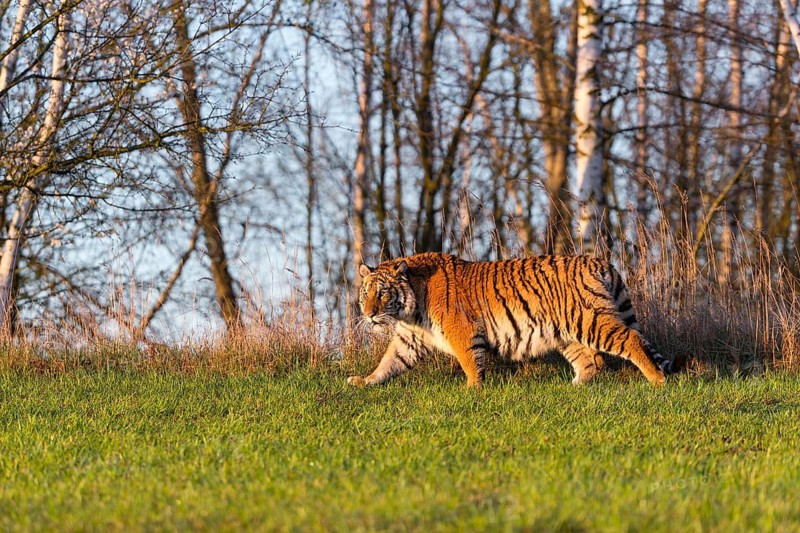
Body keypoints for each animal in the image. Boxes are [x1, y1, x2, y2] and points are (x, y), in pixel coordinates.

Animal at [348, 252, 683, 388]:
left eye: (383, 293)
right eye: (365, 293)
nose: (369, 314)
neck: (411, 309)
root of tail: (600, 261)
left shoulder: (462, 331)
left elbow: (471, 361)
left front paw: (472, 389)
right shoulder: (409, 339)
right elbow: (389, 363)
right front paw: (364, 381)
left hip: (591, 321)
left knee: (631, 338)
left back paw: (657, 380)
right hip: (567, 332)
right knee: (593, 361)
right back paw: (573, 386)